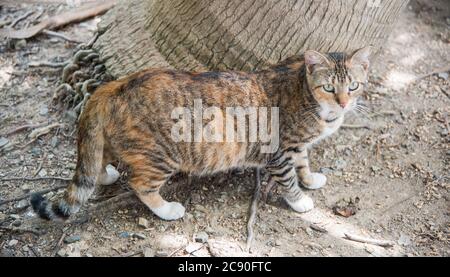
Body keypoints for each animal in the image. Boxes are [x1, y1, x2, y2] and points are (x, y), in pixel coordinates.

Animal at [29, 46, 370, 221]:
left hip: (117, 142)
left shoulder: (296, 146)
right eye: (329, 88)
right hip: (160, 156)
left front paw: (310, 179)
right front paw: (300, 201)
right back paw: (167, 210)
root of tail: (112, 87)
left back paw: (106, 174)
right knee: (140, 184)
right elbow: (288, 178)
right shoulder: (280, 150)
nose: (344, 102)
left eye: (353, 86)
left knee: (97, 161)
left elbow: (304, 162)